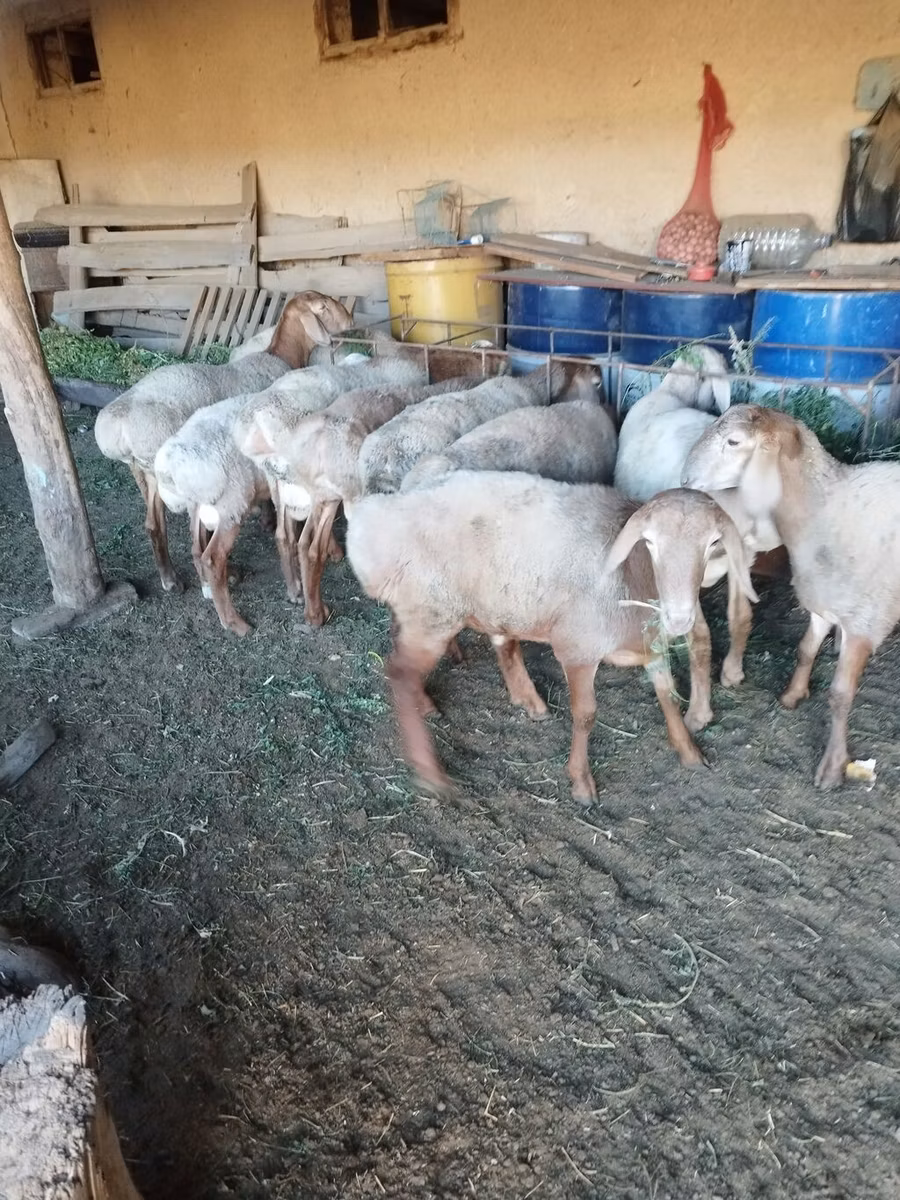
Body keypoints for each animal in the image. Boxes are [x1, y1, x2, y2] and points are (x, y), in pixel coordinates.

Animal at [94, 291, 354, 592]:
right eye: (323, 307)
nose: (351, 320)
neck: (280, 355)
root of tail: (118, 427)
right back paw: (223, 575)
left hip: (145, 473)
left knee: (154, 524)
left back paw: (170, 578)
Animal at [154, 355, 426, 635]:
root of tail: (170, 463)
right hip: (233, 503)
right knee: (213, 556)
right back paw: (236, 621)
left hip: (213, 502)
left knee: (207, 545)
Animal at [347, 476, 757, 801]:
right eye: (651, 542)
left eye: (712, 542)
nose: (679, 617)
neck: (631, 574)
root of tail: (367, 515)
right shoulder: (578, 648)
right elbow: (586, 715)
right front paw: (581, 783)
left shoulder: (650, 645)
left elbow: (668, 696)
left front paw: (689, 752)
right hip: (432, 613)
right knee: (399, 672)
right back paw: (431, 774)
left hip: (422, 611)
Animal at [682, 403, 900, 790]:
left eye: (733, 441)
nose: (685, 478)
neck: (826, 508)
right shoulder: (821, 601)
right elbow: (805, 650)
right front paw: (793, 695)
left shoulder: (864, 619)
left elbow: (840, 695)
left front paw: (832, 767)